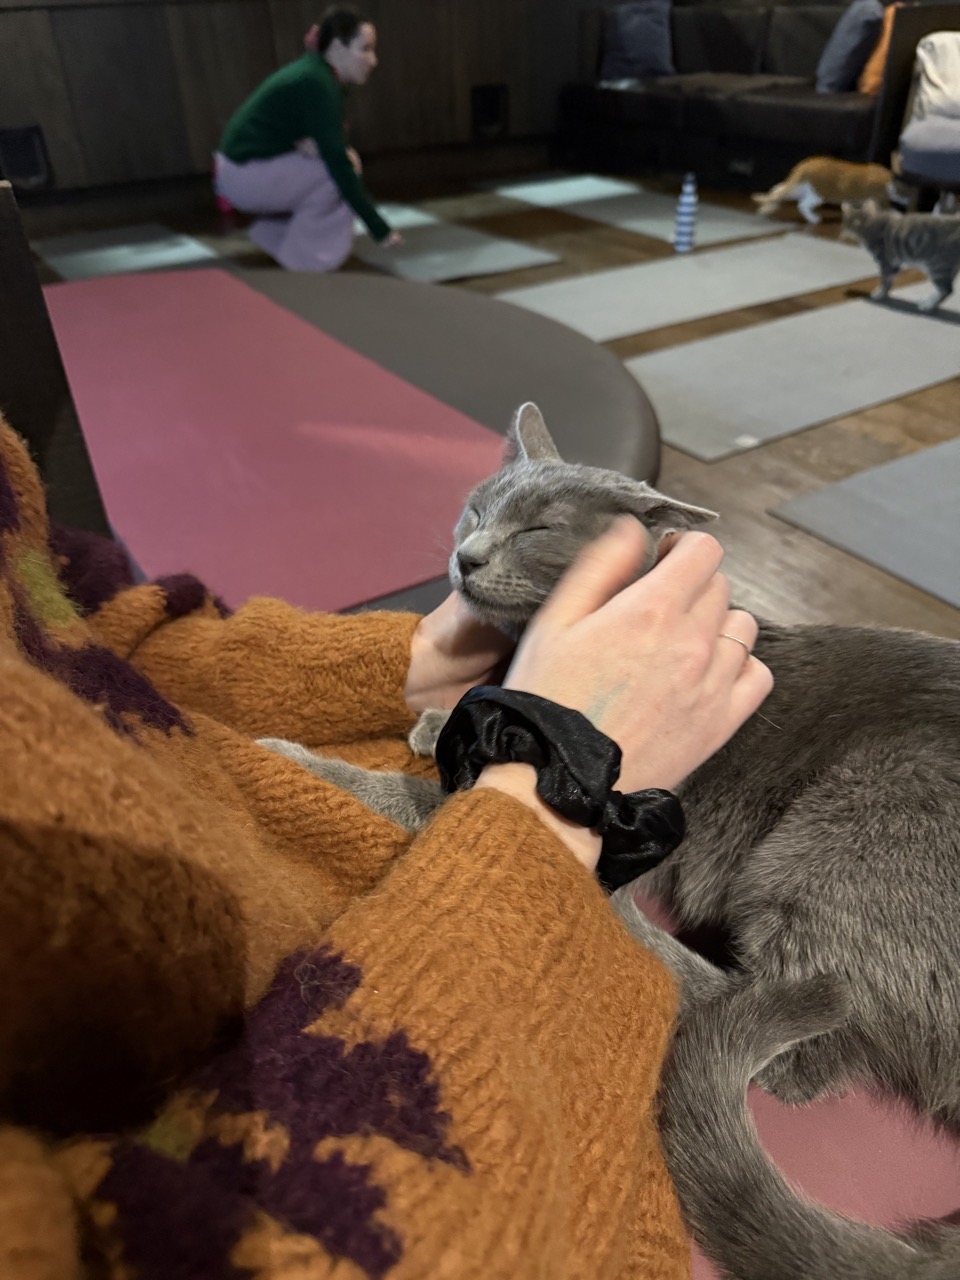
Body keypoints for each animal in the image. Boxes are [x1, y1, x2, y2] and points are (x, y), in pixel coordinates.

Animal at [259, 401, 960, 1280]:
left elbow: (424, 795)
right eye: (477, 508)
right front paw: (439, 717)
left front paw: (292, 760)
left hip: (843, 833)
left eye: (539, 529)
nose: (465, 554)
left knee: (796, 1037)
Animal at [757, 155, 901, 224]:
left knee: (777, 189)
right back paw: (813, 219)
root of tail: (806, 165)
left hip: (799, 189)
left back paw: (767, 208)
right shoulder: (876, 197)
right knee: (802, 205)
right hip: (818, 194)